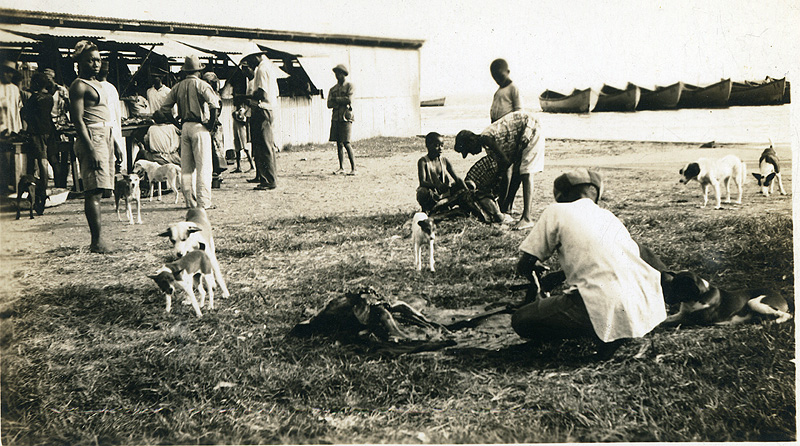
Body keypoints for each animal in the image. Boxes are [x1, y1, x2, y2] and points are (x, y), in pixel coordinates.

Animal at [660, 270, 792, 326]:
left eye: (678, 288)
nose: (666, 299)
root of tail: (782, 298)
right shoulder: (682, 314)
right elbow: (666, 319)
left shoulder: (695, 320)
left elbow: (666, 323)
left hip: (754, 302)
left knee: (787, 315)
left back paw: (774, 321)